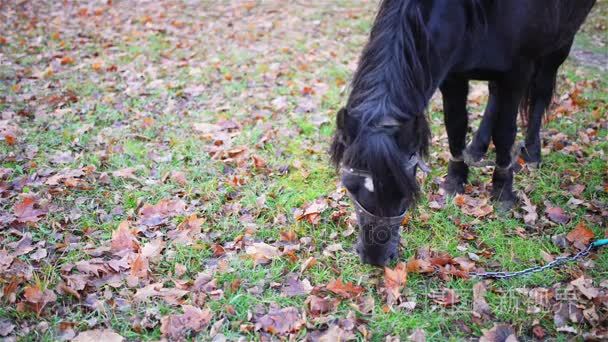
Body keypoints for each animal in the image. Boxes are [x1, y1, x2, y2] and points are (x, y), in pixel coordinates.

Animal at [330, 0, 596, 266]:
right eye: (349, 186)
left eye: (405, 191)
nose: (374, 258)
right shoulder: (452, 75)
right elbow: (455, 126)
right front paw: (454, 181)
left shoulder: (517, 74)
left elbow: (505, 132)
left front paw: (502, 190)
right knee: (494, 94)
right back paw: (477, 148)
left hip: (559, 46)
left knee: (540, 92)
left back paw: (531, 152)